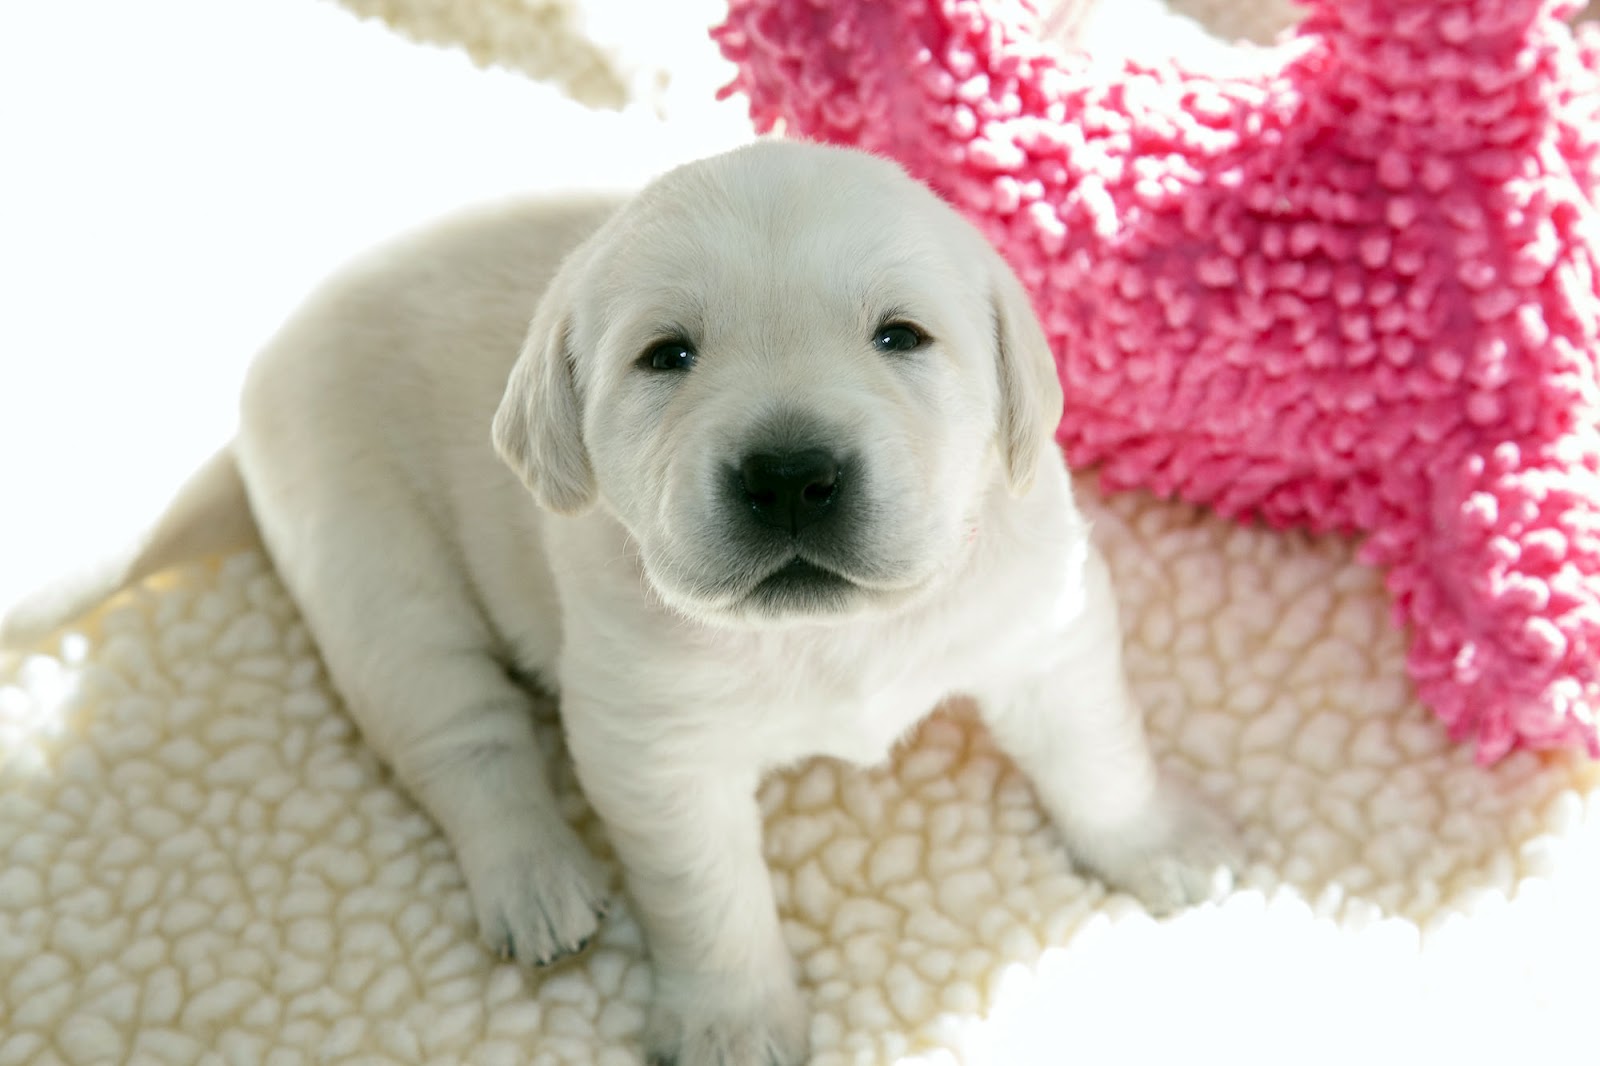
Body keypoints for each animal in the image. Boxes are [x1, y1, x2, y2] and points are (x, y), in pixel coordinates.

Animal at [2, 140, 1240, 1065]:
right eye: (666, 355)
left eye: (901, 336)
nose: (790, 473)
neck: (829, 634)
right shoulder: (653, 743)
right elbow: (708, 890)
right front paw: (732, 1020)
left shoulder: (1041, 616)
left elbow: (1092, 745)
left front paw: (1156, 842)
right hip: (366, 547)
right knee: (462, 737)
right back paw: (534, 879)